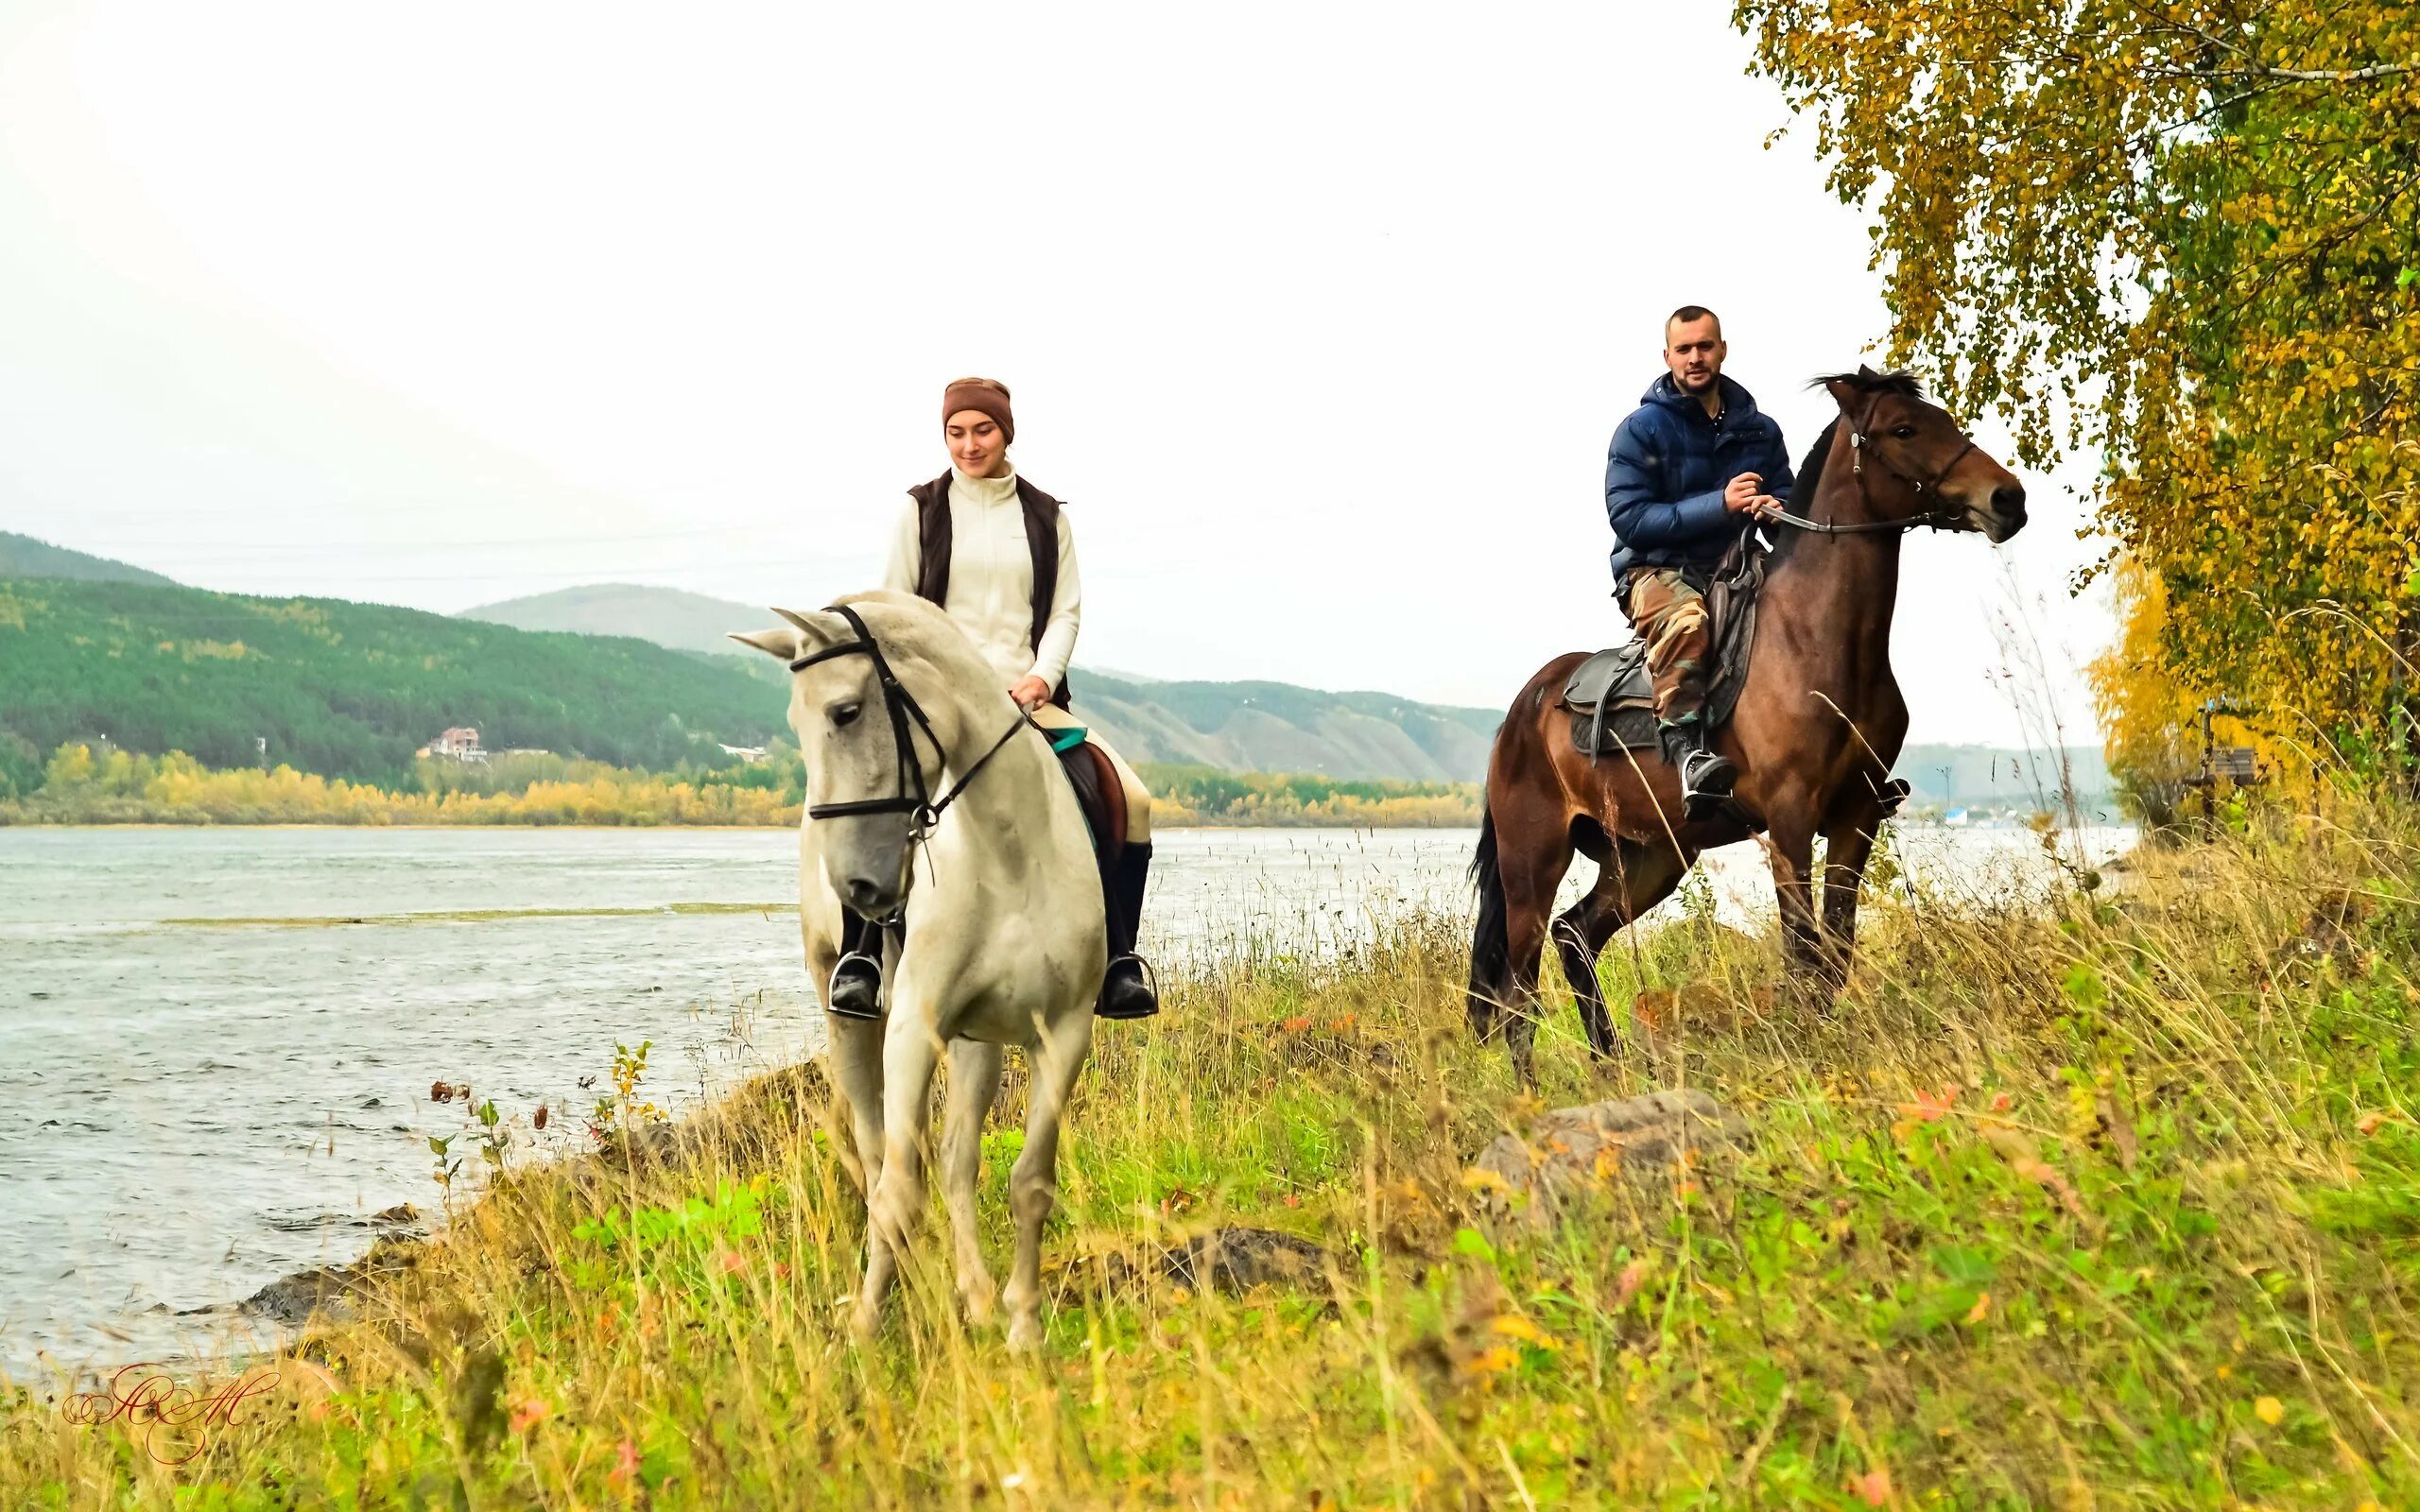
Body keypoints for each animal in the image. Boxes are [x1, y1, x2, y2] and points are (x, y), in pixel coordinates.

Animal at [726, 588, 1108, 1345]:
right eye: (795, 724)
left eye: (845, 711)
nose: (857, 889)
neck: (1008, 853)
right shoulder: (910, 1029)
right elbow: (897, 1188)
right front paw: (868, 1326)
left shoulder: (1062, 1034)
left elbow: (1029, 1181)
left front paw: (1023, 1325)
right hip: (851, 1023)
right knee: (880, 1161)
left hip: (978, 1044)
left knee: (958, 1163)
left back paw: (979, 1295)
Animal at [1461, 368, 2032, 1078]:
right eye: (1904, 429)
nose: (2008, 499)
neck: (1818, 639)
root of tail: (1521, 713)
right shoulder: (1789, 818)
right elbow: (1803, 951)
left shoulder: (1856, 816)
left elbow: (1836, 951)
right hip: (1531, 862)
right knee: (1518, 989)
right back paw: (1536, 1090)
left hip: (1650, 856)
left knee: (1576, 938)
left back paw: (1614, 1066)